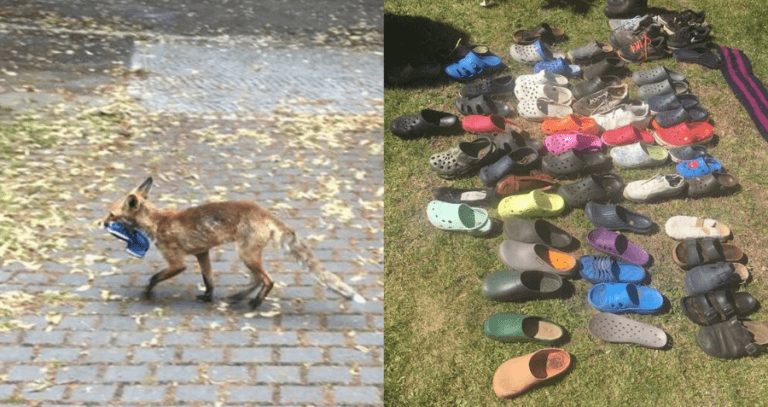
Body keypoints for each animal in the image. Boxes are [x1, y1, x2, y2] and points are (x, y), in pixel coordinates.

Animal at [101, 177, 365, 309]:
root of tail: (264, 212)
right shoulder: (202, 253)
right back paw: (238, 297)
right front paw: (208, 297)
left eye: (112, 215)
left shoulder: (177, 262)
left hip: (245, 254)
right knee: (257, 279)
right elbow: (209, 280)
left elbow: (154, 277)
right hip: (247, 256)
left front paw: (146, 293)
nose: (101, 222)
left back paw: (255, 303)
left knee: (267, 280)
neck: (159, 222)